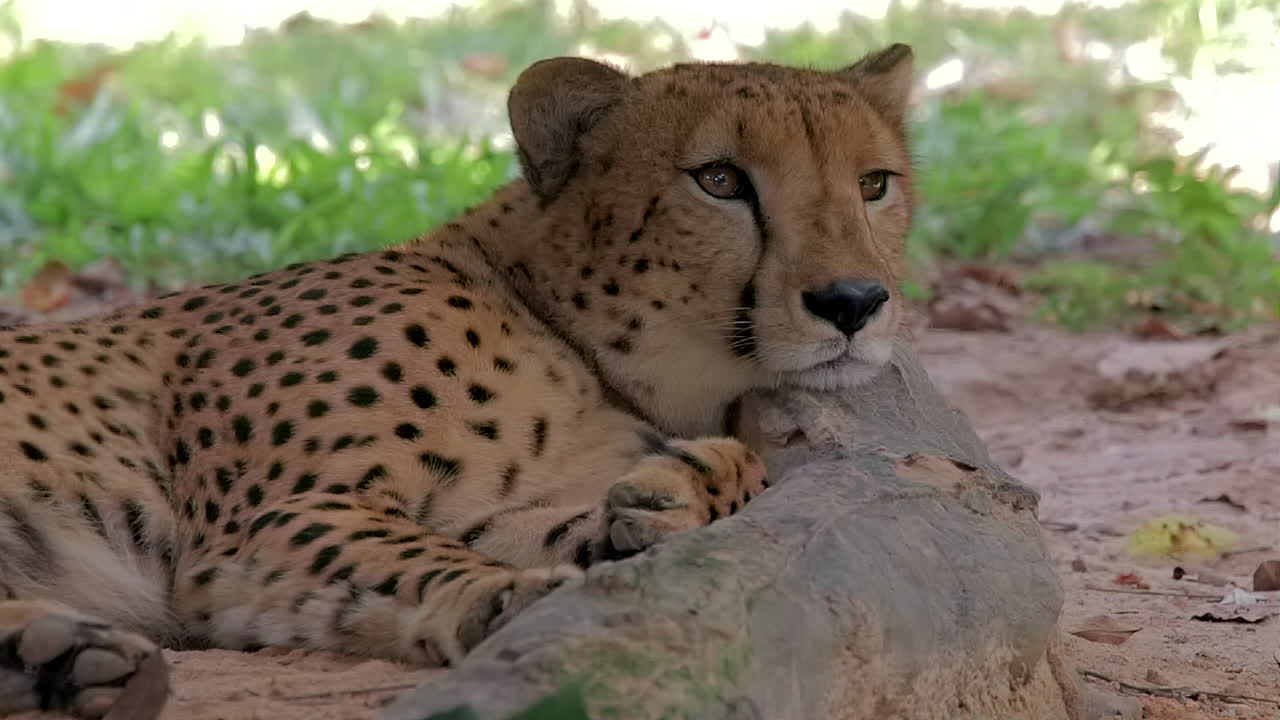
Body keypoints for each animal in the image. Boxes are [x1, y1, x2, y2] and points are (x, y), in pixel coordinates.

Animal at [0, 43, 916, 717]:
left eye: (874, 184)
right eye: (720, 180)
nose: (854, 302)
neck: (570, 339)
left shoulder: (481, 508)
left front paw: (674, 495)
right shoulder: (266, 525)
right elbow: (411, 553)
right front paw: (509, 596)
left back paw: (62, 659)